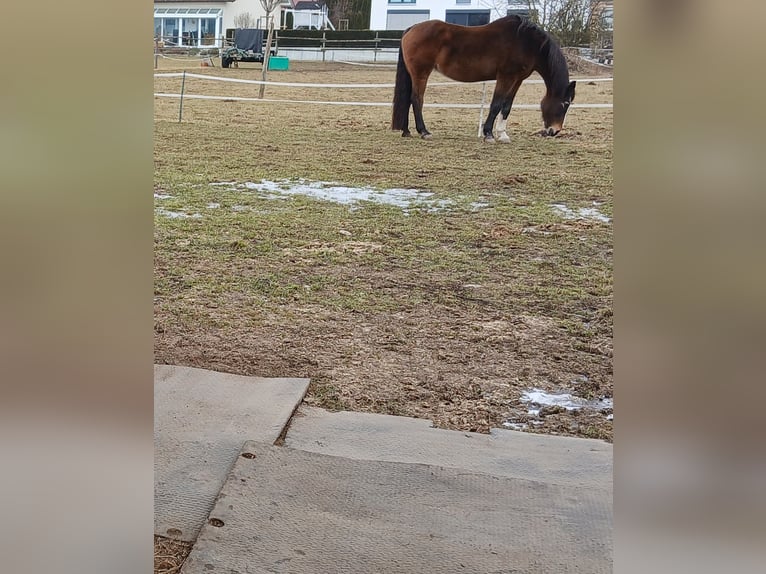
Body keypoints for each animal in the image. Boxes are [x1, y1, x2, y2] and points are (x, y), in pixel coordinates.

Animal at [391, 15, 576, 142]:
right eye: (565, 104)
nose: (555, 131)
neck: (527, 43)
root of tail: (412, 29)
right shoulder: (505, 77)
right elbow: (496, 105)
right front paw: (489, 134)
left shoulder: (517, 79)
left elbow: (506, 106)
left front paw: (503, 135)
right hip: (421, 73)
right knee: (416, 99)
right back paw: (424, 131)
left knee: (408, 99)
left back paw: (406, 131)